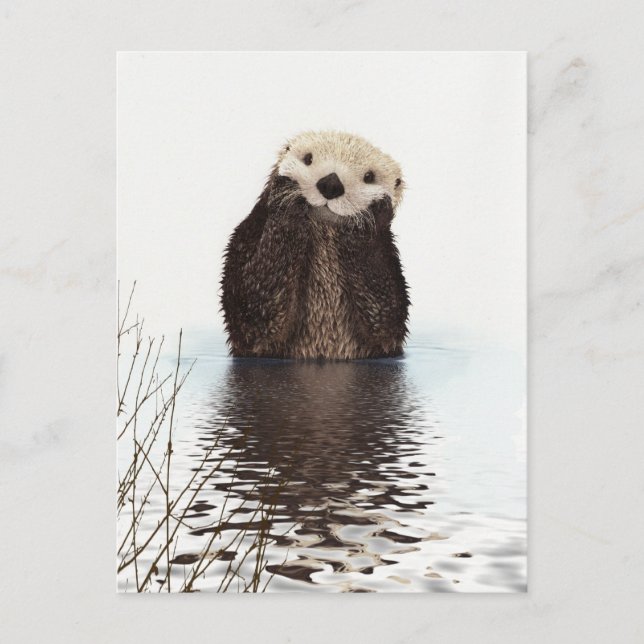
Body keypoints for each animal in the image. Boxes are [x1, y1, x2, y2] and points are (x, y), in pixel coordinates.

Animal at [221, 130, 409, 360]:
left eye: (369, 177)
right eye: (308, 159)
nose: (331, 184)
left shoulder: (389, 262)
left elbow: (386, 317)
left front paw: (370, 216)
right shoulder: (246, 238)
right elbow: (252, 310)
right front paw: (286, 197)